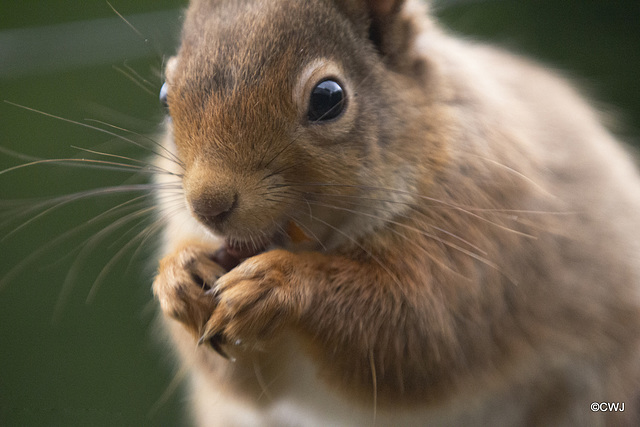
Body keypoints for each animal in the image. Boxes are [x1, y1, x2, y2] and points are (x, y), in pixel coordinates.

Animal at [151, 0, 640, 424]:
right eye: (164, 95)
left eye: (328, 98)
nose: (208, 205)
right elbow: (246, 383)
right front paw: (178, 277)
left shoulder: (485, 238)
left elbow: (420, 334)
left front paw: (276, 282)